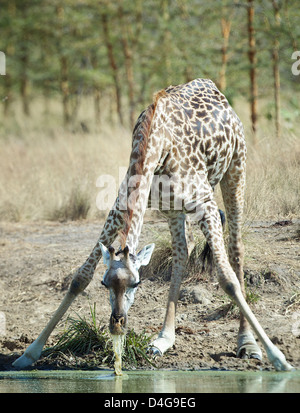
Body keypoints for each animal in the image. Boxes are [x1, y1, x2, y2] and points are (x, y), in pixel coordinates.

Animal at [13, 77, 292, 370]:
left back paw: (247, 344)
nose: (117, 324)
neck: (155, 145)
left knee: (235, 250)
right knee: (182, 253)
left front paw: (279, 358)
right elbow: (79, 278)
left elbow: (227, 279)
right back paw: (163, 340)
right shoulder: (120, 205)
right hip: (174, 209)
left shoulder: (205, 203)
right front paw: (29, 353)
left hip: (236, 169)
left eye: (136, 284)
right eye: (105, 284)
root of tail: (215, 89)